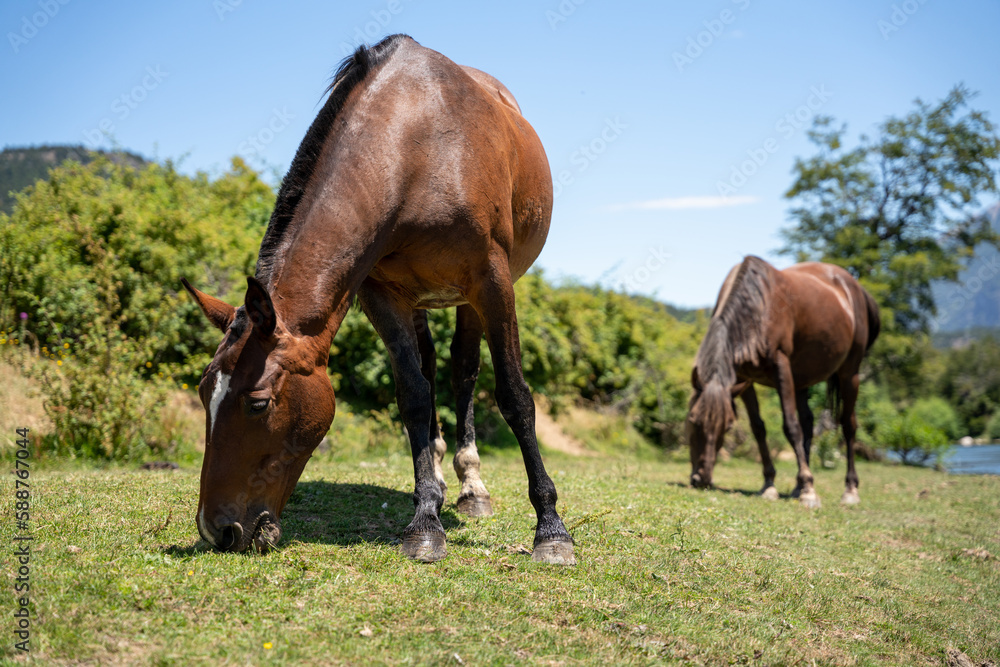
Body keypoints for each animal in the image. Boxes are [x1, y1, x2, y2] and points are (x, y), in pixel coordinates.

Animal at [181, 34, 574, 564]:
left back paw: (472, 487)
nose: (216, 529)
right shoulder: (380, 294)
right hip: (422, 301)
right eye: (205, 393)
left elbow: (514, 395)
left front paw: (551, 529)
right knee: (431, 369)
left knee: (464, 372)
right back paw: (441, 481)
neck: (415, 148)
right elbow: (413, 397)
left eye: (258, 404)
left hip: (470, 298)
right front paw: (425, 520)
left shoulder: (492, 282)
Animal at [685, 255, 880, 508]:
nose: (700, 479)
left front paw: (809, 490)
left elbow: (790, 427)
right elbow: (758, 428)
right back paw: (798, 487)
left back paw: (849, 489)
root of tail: (854, 287)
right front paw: (770, 484)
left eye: (727, 426)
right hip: (803, 379)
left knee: (848, 425)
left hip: (850, 375)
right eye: (692, 420)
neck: (757, 307)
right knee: (808, 424)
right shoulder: (743, 379)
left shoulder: (782, 368)